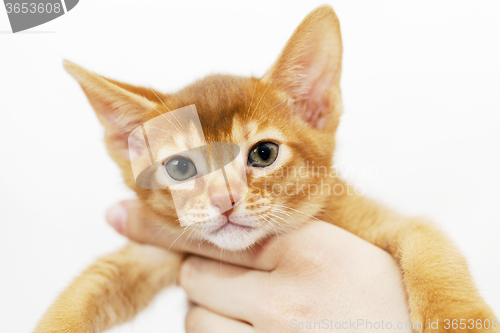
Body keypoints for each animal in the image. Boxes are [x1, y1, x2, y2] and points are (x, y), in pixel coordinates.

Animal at [34, 5, 496, 332]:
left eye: (263, 154)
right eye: (180, 167)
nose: (224, 199)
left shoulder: (382, 219)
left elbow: (429, 246)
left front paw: (457, 321)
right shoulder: (156, 251)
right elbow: (88, 287)